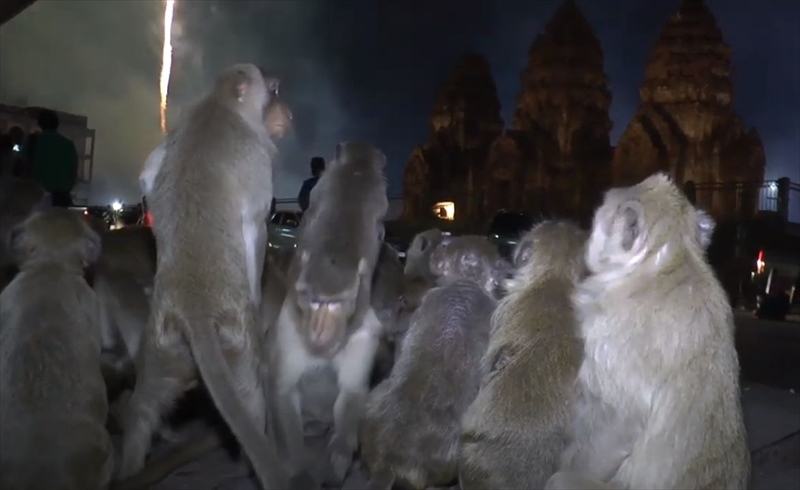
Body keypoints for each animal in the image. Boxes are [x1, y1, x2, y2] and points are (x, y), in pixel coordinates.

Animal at [117, 65, 292, 490]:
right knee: (252, 396)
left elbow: (148, 175)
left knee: (144, 405)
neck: (220, 104)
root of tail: (194, 308)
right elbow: (255, 227)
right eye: (274, 90)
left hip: (162, 344)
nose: (287, 110)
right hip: (238, 344)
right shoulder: (257, 157)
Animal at [268, 140, 390, 484]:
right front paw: (301, 474)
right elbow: (283, 392)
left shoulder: (365, 336)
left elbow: (351, 394)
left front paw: (338, 463)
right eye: (312, 302)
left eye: (336, 305)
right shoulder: (289, 329)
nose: (319, 330)